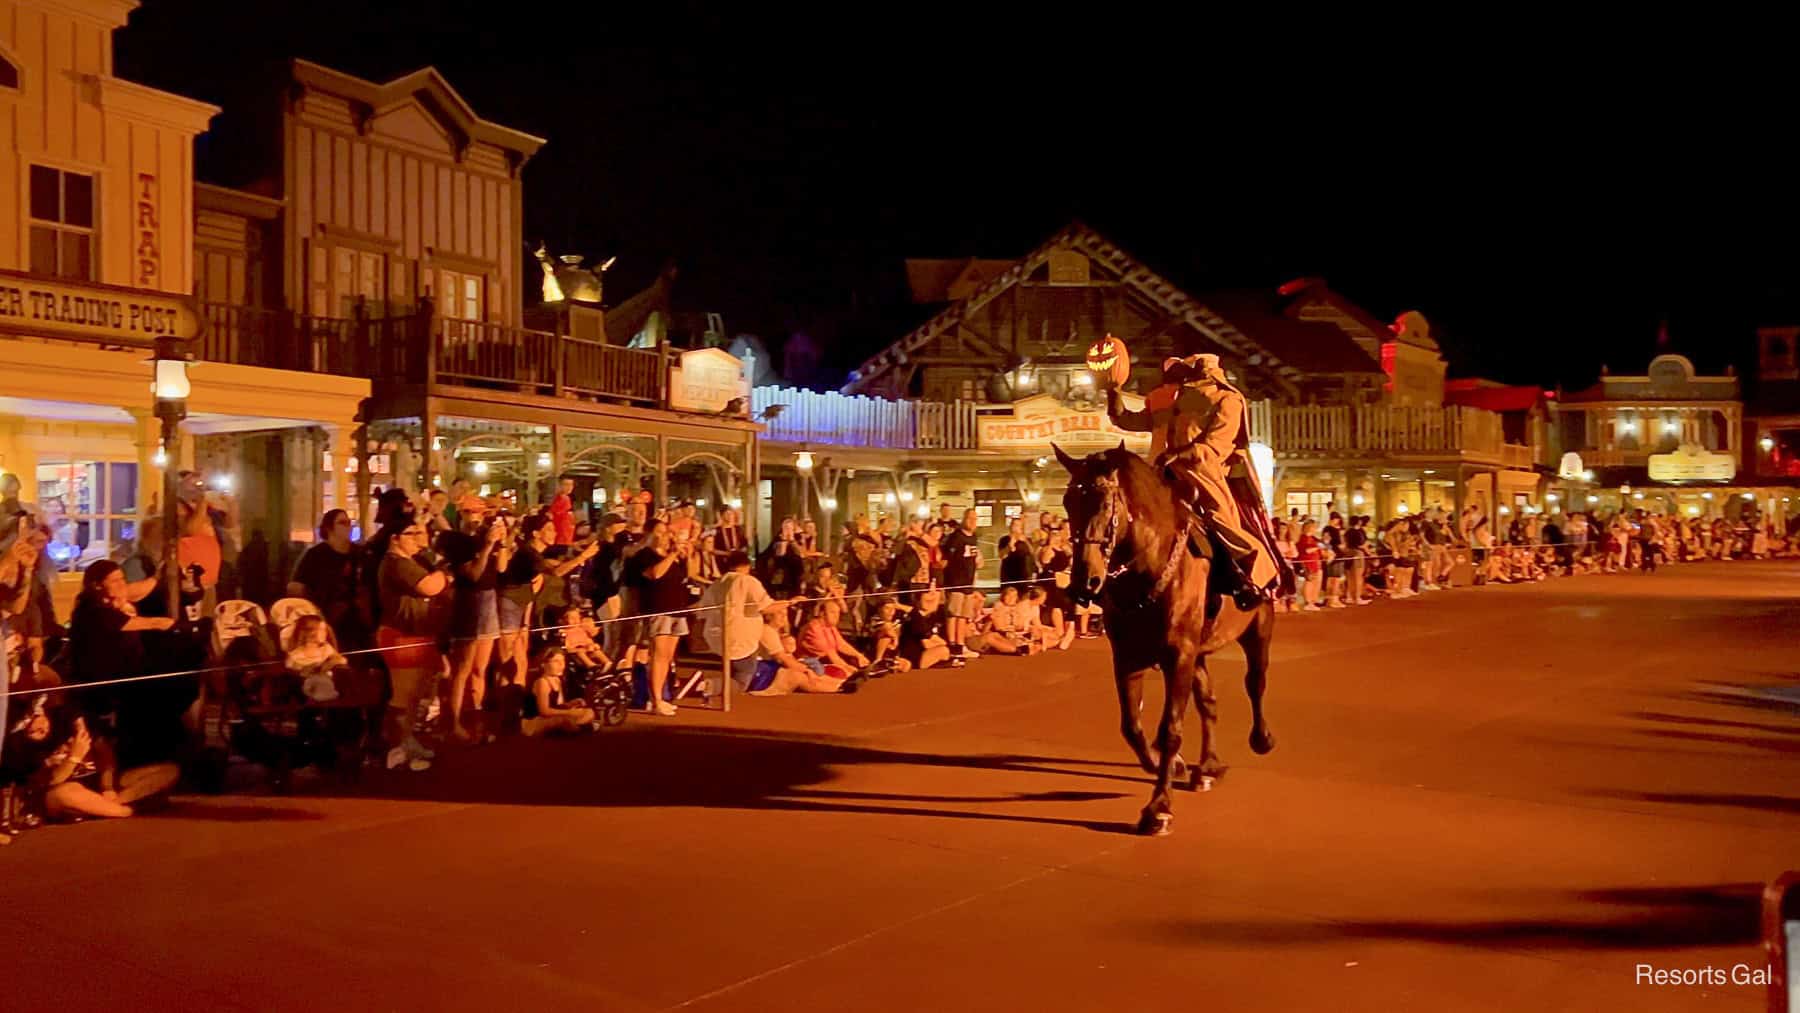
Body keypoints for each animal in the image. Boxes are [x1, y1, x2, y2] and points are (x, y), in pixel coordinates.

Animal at [1051, 444, 1281, 842]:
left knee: (1255, 683)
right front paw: (1166, 764)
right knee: (1209, 703)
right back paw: (1207, 766)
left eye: (1105, 503)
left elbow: (1170, 729)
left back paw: (1260, 738)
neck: (1149, 566)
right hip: (1198, 654)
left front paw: (1158, 808)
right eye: (1068, 501)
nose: (1084, 581)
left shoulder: (1178, 654)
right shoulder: (1128, 657)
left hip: (1256, 629)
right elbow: (1132, 726)